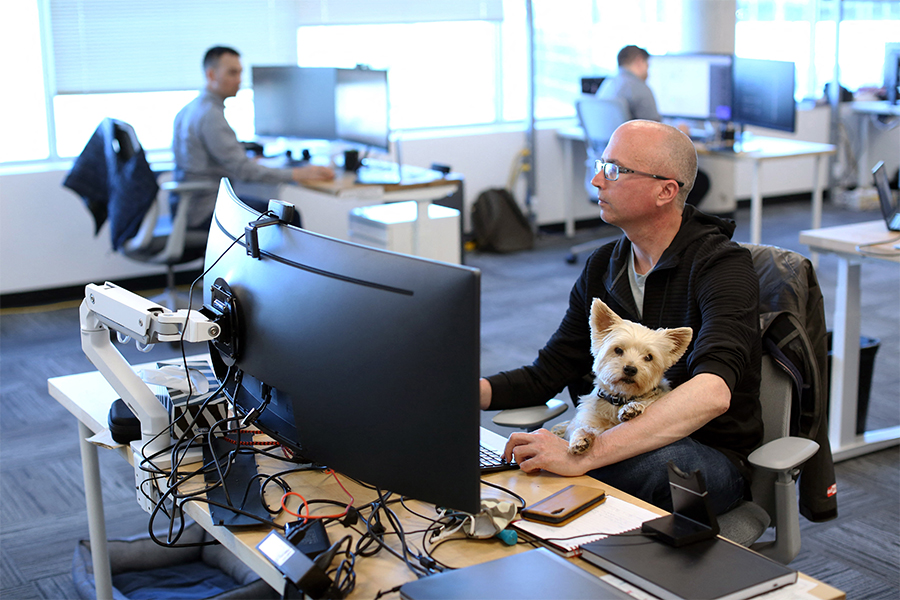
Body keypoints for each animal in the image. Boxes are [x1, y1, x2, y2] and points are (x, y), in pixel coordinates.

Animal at [556, 300, 696, 454]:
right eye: (618, 350)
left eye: (649, 357)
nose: (630, 369)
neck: (620, 398)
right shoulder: (589, 416)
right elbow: (581, 427)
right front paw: (580, 438)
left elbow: (648, 400)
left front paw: (633, 408)